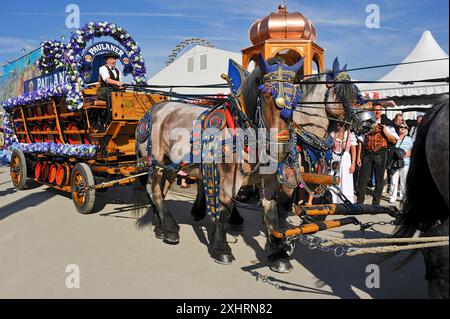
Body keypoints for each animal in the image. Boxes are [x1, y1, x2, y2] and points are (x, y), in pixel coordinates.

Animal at [136, 55, 306, 270]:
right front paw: (221, 249)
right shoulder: (227, 180)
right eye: (267, 95)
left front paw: (277, 254)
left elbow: (271, 215)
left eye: (297, 96)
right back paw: (170, 228)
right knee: (154, 191)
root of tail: (153, 110)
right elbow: (224, 210)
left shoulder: (269, 183)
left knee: (161, 190)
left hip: (171, 166)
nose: (280, 149)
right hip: (154, 163)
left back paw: (160, 227)